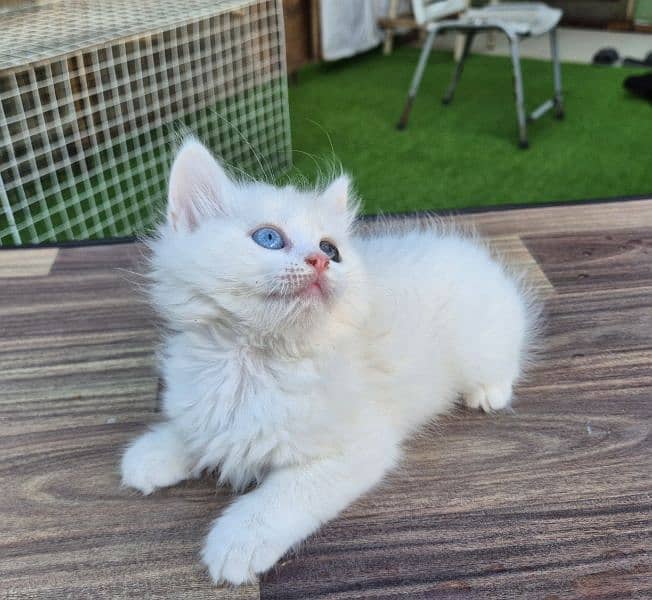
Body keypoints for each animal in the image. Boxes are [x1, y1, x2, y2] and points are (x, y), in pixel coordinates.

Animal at [119, 138, 536, 584]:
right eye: (269, 238)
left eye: (330, 250)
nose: (318, 261)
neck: (254, 361)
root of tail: (478, 256)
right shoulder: (208, 402)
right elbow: (196, 430)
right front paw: (154, 452)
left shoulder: (358, 448)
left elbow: (283, 497)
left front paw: (237, 541)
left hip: (483, 345)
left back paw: (489, 393)